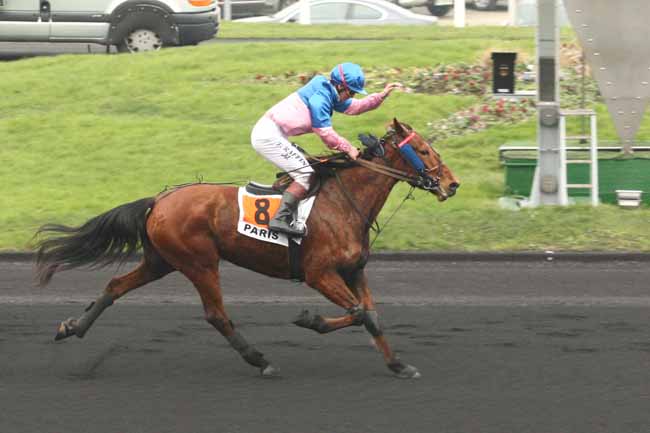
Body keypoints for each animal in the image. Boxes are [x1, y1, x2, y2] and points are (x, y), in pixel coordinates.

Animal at [34, 118, 460, 379]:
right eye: (423, 150)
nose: (452, 184)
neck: (343, 202)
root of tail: (159, 199)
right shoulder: (319, 273)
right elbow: (359, 313)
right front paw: (310, 319)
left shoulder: (354, 269)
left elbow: (372, 316)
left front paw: (399, 365)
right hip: (200, 262)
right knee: (216, 315)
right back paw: (260, 360)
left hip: (162, 261)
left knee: (115, 286)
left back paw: (72, 327)